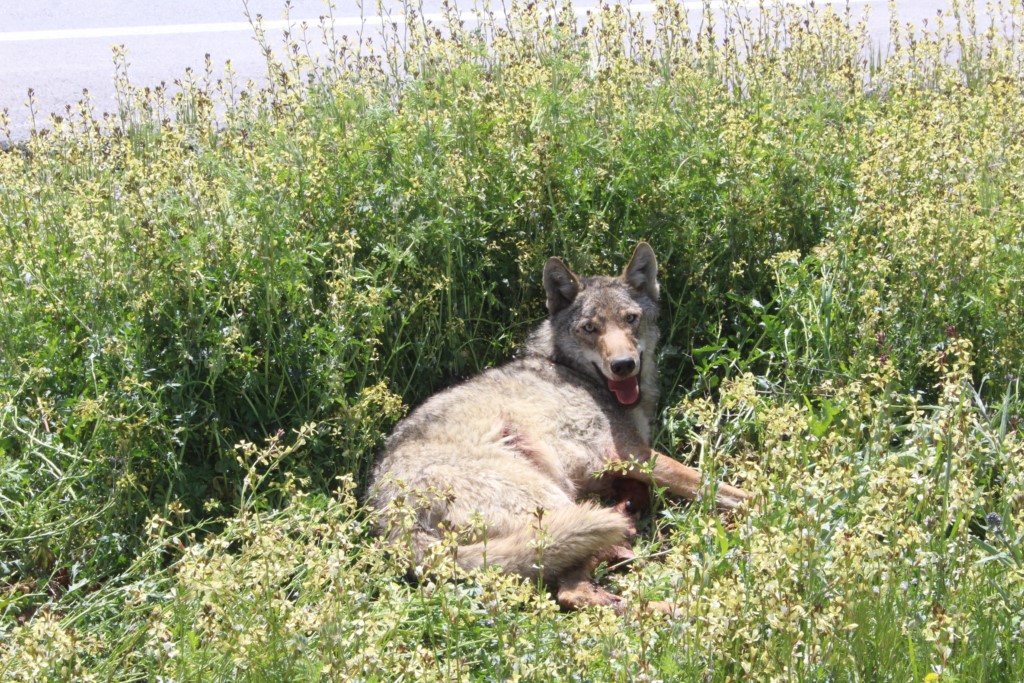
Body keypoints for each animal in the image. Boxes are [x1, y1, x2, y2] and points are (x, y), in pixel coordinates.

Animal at [368, 242, 745, 610]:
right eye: (590, 328)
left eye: (631, 319)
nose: (623, 365)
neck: (578, 373)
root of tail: (392, 519)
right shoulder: (633, 454)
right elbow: (718, 487)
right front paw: (758, 503)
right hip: (556, 499)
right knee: (572, 590)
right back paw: (669, 605)